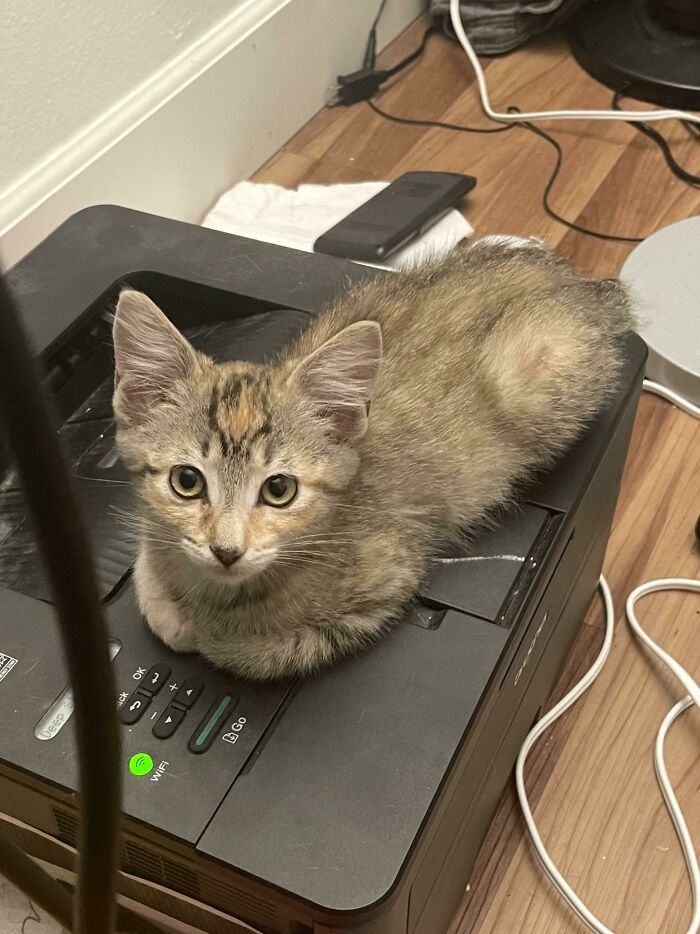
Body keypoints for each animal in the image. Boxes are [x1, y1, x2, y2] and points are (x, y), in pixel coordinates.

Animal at [113, 238, 636, 684]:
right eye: (186, 481)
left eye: (279, 490)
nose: (226, 551)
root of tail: (582, 287)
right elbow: (145, 566)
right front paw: (169, 607)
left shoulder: (387, 580)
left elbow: (261, 653)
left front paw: (204, 631)